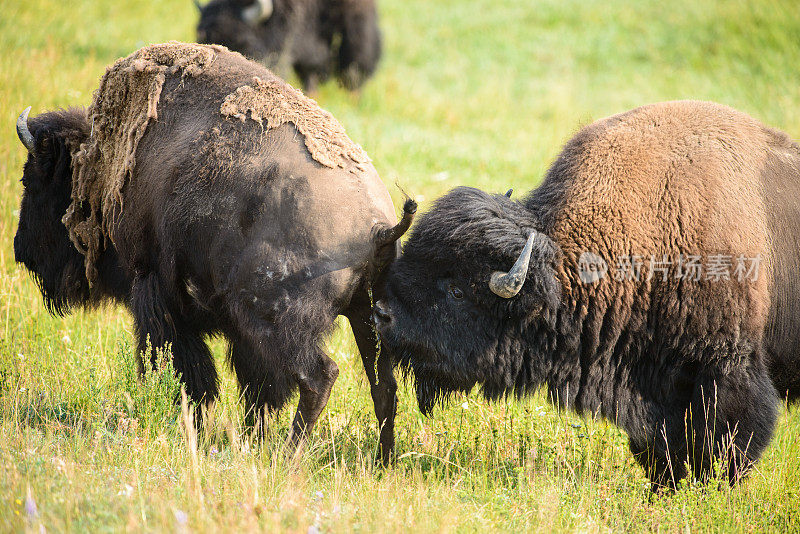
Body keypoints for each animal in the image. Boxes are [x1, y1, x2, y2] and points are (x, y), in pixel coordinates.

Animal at [15, 42, 416, 462]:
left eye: (32, 180)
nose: (20, 251)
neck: (105, 166)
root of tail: (377, 225)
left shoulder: (155, 293)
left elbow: (188, 372)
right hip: (363, 317)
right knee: (382, 386)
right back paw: (382, 461)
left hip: (280, 322)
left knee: (319, 377)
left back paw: (289, 456)